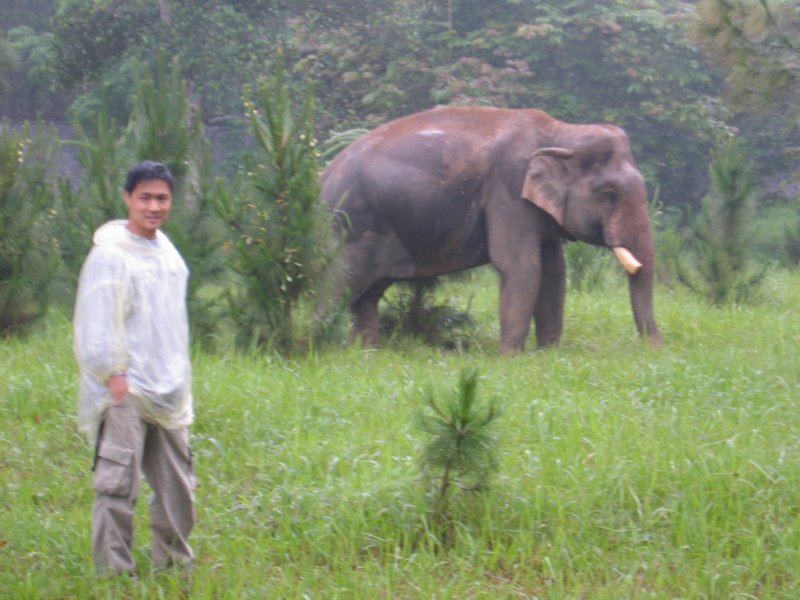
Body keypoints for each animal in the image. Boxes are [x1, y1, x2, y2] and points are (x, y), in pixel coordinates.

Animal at [321, 106, 662, 353]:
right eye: (609, 194)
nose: (655, 349)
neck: (560, 131)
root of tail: (323, 176)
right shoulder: (508, 192)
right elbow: (521, 266)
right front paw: (511, 358)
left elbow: (554, 270)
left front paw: (549, 354)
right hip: (348, 227)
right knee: (336, 285)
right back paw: (316, 349)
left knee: (365, 296)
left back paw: (365, 355)